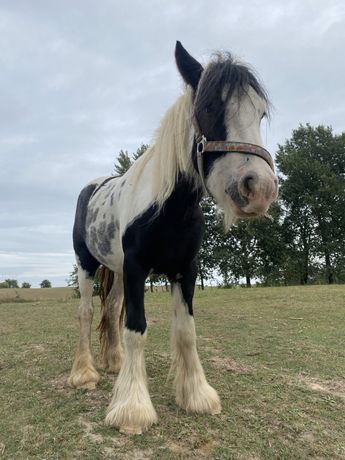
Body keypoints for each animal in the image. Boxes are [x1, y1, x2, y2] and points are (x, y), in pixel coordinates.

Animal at [67, 40, 276, 434]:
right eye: (209, 107)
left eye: (259, 113)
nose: (259, 189)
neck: (169, 208)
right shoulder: (137, 268)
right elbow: (136, 328)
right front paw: (132, 410)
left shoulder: (185, 270)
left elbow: (186, 332)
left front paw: (197, 396)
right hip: (87, 264)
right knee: (86, 312)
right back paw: (84, 374)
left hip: (118, 271)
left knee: (111, 308)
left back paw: (115, 363)